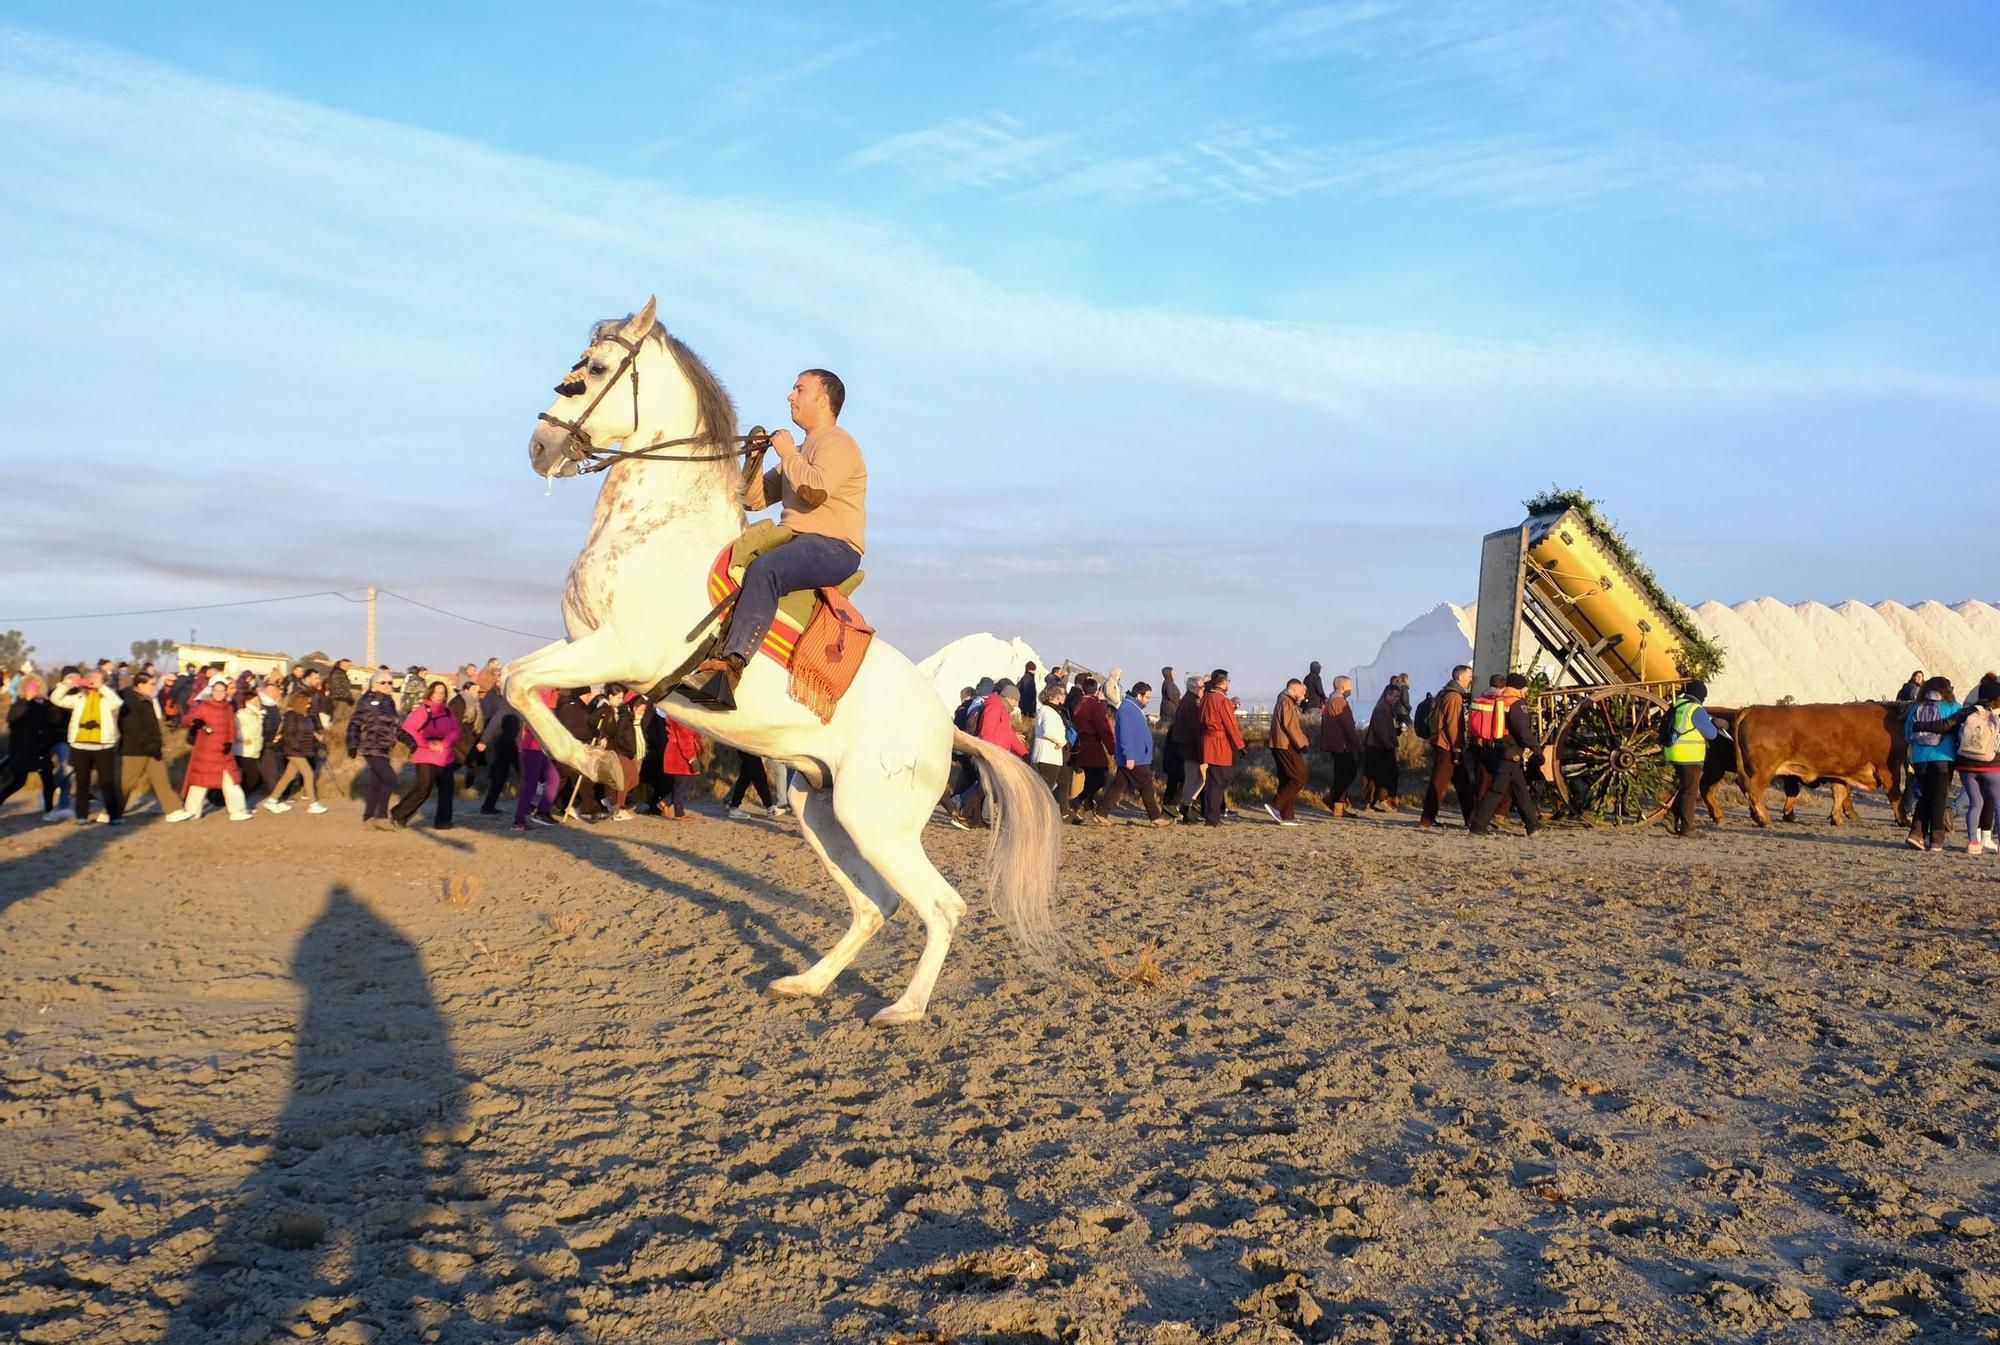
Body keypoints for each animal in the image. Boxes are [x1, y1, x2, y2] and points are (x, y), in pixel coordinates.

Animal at [500, 300, 1064, 1024]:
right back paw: (807, 983)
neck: (658, 527)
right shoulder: (584, 646)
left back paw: (903, 1008)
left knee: (940, 905)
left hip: (875, 820)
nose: (540, 447)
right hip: (819, 808)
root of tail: (947, 725)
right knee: (875, 905)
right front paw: (597, 761)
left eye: (596, 368)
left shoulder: (623, 651)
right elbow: (516, 680)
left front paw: (596, 764)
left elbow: (521, 685)